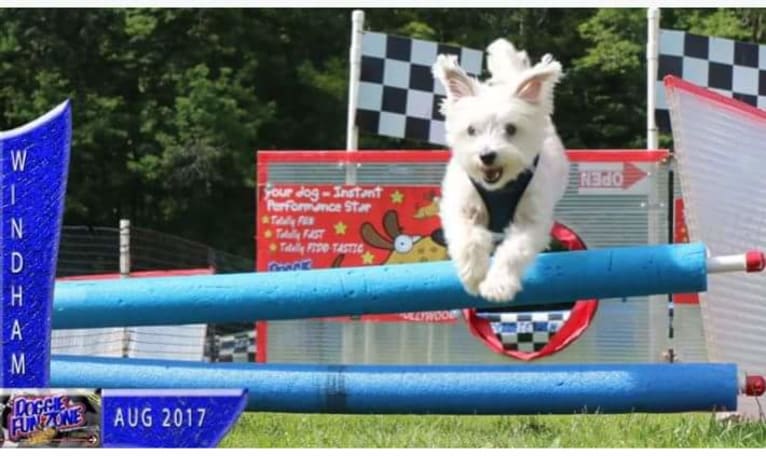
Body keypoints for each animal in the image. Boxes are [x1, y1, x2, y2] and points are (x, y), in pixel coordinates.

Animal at [432, 40, 568, 302]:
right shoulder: (462, 207)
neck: (499, 188)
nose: (487, 156)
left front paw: (497, 286)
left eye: (511, 129)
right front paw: (474, 277)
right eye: (471, 130)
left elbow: (514, 251)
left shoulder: (532, 220)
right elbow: (469, 240)